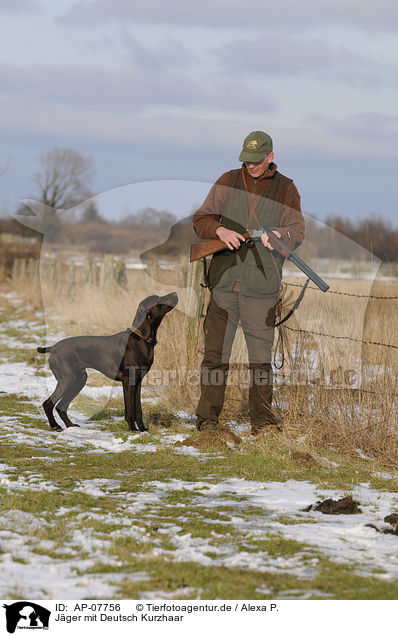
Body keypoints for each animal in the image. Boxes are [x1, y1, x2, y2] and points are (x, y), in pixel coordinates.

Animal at [37, 294, 177, 432]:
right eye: (158, 299)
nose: (175, 294)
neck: (141, 339)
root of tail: (53, 348)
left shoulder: (138, 381)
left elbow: (138, 408)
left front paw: (142, 428)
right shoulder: (128, 381)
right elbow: (130, 408)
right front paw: (132, 428)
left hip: (79, 379)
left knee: (61, 406)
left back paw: (70, 426)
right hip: (68, 379)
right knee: (48, 403)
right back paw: (55, 426)